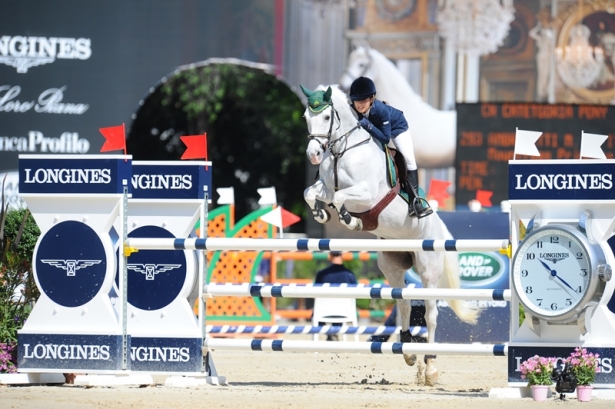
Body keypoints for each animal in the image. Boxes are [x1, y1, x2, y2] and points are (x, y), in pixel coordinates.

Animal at [304, 83, 482, 386]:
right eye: (306, 116)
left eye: (327, 117)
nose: (314, 155)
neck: (342, 151)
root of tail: (439, 228)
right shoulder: (324, 187)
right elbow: (312, 193)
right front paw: (321, 213)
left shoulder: (367, 195)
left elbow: (340, 197)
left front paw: (350, 220)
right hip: (392, 265)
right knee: (405, 305)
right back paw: (408, 350)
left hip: (428, 269)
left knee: (431, 313)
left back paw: (430, 367)